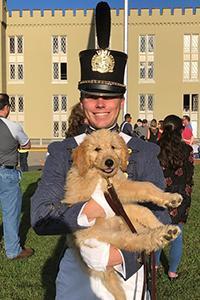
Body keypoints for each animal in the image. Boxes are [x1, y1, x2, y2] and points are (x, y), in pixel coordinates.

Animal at [63, 129, 182, 300]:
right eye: (97, 149)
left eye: (113, 147)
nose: (109, 162)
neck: (104, 177)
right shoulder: (115, 191)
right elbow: (145, 186)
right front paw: (169, 199)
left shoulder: (119, 200)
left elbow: (145, 200)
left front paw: (169, 200)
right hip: (111, 236)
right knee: (137, 241)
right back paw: (163, 235)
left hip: (124, 221)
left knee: (142, 220)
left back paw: (164, 229)